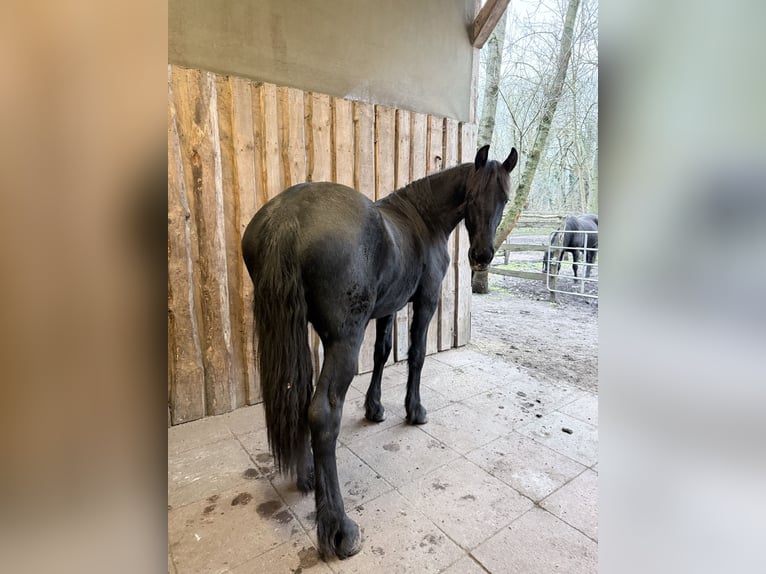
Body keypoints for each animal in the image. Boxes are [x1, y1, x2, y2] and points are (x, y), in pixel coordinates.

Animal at [241, 144, 518, 560]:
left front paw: (374, 408)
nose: (482, 255)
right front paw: (414, 411)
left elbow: (383, 353)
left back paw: (307, 477)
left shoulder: (388, 307)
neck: (422, 218)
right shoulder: (425, 301)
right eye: (471, 196)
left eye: (504, 198)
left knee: (299, 394)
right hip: (343, 339)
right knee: (323, 413)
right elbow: (416, 354)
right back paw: (338, 528)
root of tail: (288, 218)